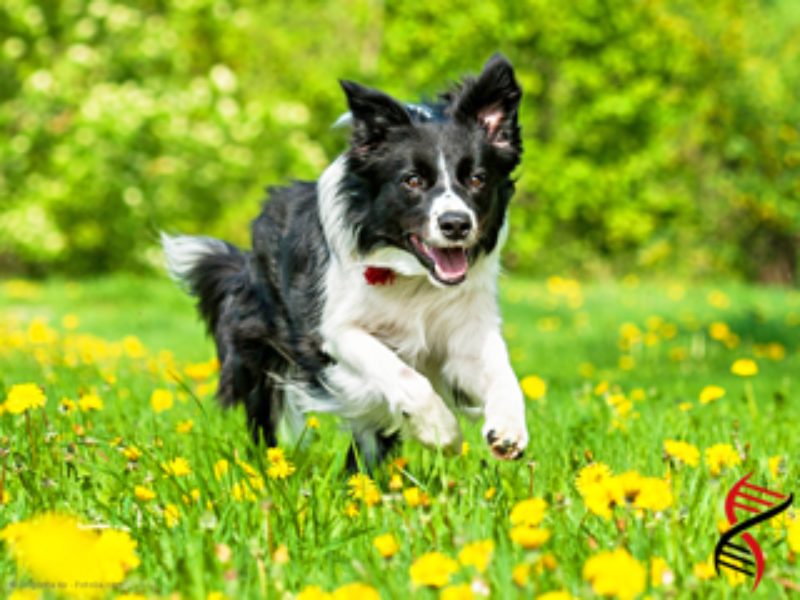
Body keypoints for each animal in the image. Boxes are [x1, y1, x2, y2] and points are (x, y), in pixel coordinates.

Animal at [162, 54, 528, 466]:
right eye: (413, 180)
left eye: (478, 178)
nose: (456, 224)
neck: (414, 279)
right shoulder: (333, 332)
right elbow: (402, 374)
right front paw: (441, 432)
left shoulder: (465, 329)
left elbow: (502, 372)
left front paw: (508, 428)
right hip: (259, 354)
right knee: (263, 419)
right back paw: (266, 467)